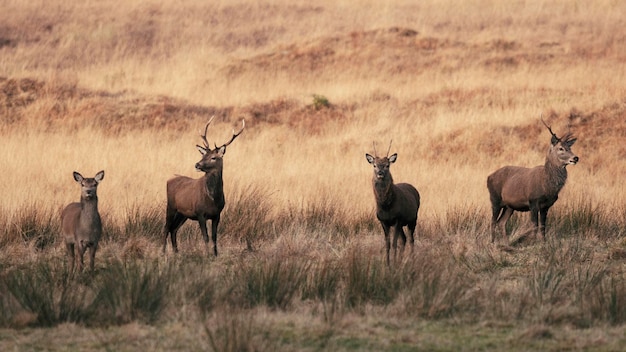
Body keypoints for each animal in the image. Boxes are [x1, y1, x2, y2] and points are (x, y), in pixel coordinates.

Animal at [163, 117, 244, 258]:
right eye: (202, 155)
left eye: (213, 157)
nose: (197, 164)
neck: (212, 198)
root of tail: (169, 180)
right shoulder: (200, 213)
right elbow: (205, 237)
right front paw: (207, 255)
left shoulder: (217, 214)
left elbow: (214, 237)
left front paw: (215, 255)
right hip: (171, 206)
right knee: (166, 228)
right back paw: (162, 252)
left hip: (182, 213)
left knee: (174, 229)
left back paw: (176, 252)